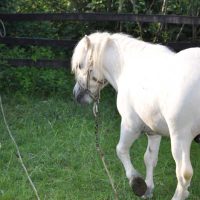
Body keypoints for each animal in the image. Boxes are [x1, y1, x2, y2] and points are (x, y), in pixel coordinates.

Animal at [71, 32, 199, 199]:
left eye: (80, 65)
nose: (77, 95)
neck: (129, 67)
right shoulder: (153, 131)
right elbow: (150, 158)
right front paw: (148, 188)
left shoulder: (130, 125)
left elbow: (121, 150)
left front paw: (137, 182)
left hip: (180, 138)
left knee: (184, 174)